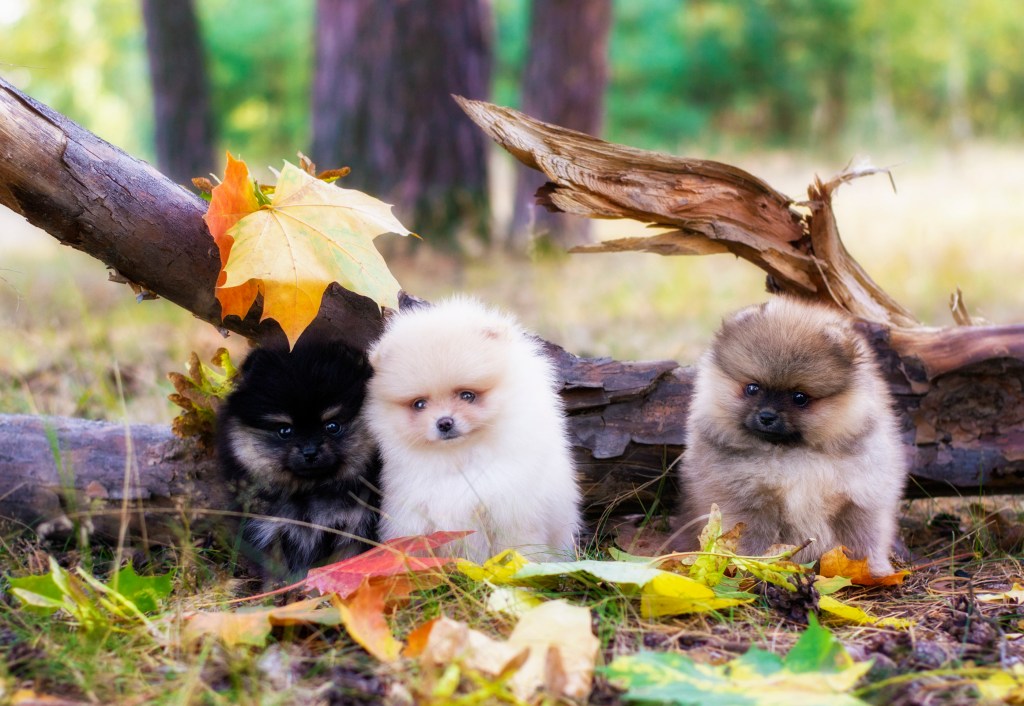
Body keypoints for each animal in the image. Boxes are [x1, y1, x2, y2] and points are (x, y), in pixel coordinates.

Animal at [216, 338, 380, 577]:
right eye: (285, 431)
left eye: (332, 426)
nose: (310, 451)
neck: (310, 492)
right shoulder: (271, 529)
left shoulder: (354, 526)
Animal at [364, 297, 581, 561]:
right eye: (419, 404)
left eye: (467, 395)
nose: (444, 422)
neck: (459, 459)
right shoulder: (414, 516)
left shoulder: (510, 512)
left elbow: (518, 551)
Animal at [679, 295, 905, 573]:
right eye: (752, 388)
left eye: (800, 397)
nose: (767, 416)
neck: (792, 455)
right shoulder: (746, 502)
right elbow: (751, 541)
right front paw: (749, 568)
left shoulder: (859, 499)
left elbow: (864, 540)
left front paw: (874, 572)